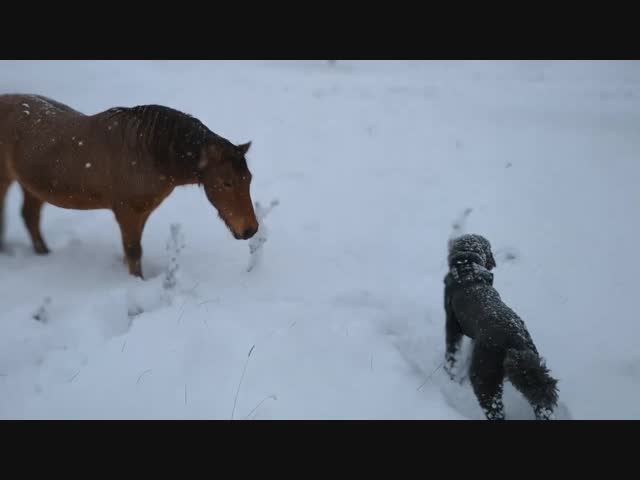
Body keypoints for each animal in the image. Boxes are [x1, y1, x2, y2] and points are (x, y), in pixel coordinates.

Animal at [1, 94, 260, 278]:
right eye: (227, 182)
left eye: (248, 179)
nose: (250, 230)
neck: (146, 154)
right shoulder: (127, 213)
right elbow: (134, 253)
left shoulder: (141, 213)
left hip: (32, 185)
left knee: (30, 216)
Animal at [442, 235, 556, 420]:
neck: (468, 266)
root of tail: (513, 338)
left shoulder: (452, 325)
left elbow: (452, 356)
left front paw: (450, 375)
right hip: (531, 367)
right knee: (542, 405)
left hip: (484, 378)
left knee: (495, 410)